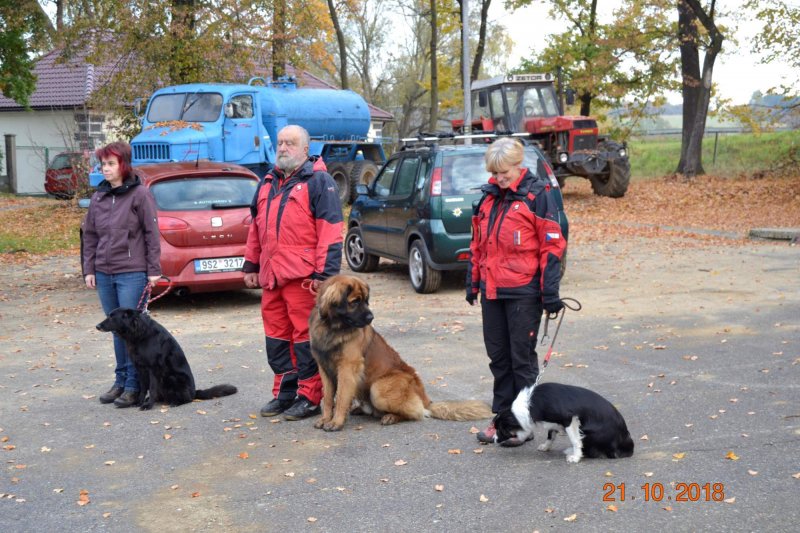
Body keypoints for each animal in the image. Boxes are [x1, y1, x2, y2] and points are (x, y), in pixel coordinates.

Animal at [95, 306, 236, 410]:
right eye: (108, 315)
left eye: (112, 317)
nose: (97, 326)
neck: (140, 333)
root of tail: (194, 392)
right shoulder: (140, 368)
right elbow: (143, 388)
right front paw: (139, 402)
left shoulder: (153, 369)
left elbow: (151, 388)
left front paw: (147, 405)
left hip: (172, 377)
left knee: (187, 399)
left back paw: (176, 402)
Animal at [308, 272, 490, 430]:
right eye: (355, 302)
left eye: (366, 301)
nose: (371, 318)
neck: (331, 328)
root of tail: (426, 399)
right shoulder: (324, 369)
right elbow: (328, 398)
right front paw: (325, 419)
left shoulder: (347, 368)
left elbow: (341, 398)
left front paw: (336, 422)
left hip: (378, 388)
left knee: (416, 412)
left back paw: (391, 416)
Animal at [494, 382, 632, 462]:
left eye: (500, 430)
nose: (494, 440)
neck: (529, 405)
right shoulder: (553, 421)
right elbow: (550, 435)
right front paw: (546, 447)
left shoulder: (569, 419)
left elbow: (575, 440)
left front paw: (576, 457)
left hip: (589, 433)